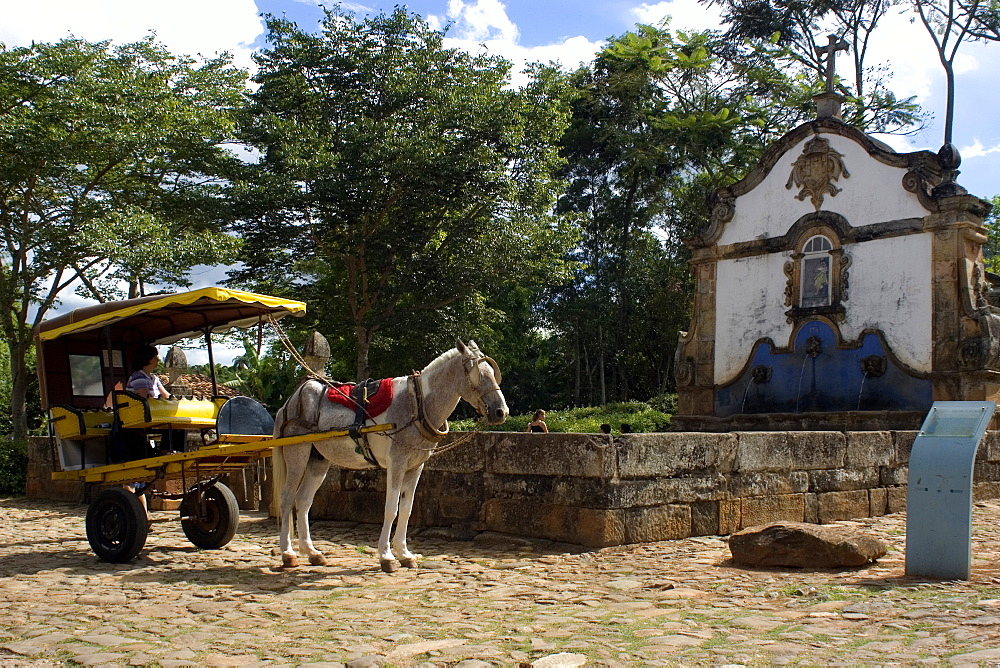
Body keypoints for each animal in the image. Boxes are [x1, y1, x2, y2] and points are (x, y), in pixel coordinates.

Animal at [272, 342, 508, 572]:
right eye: (479, 374)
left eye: (492, 372)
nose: (501, 412)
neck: (417, 405)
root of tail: (290, 402)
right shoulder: (397, 463)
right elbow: (391, 509)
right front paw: (386, 555)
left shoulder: (415, 467)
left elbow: (406, 509)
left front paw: (404, 553)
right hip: (297, 454)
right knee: (287, 498)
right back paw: (288, 553)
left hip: (318, 460)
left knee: (303, 500)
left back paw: (311, 552)